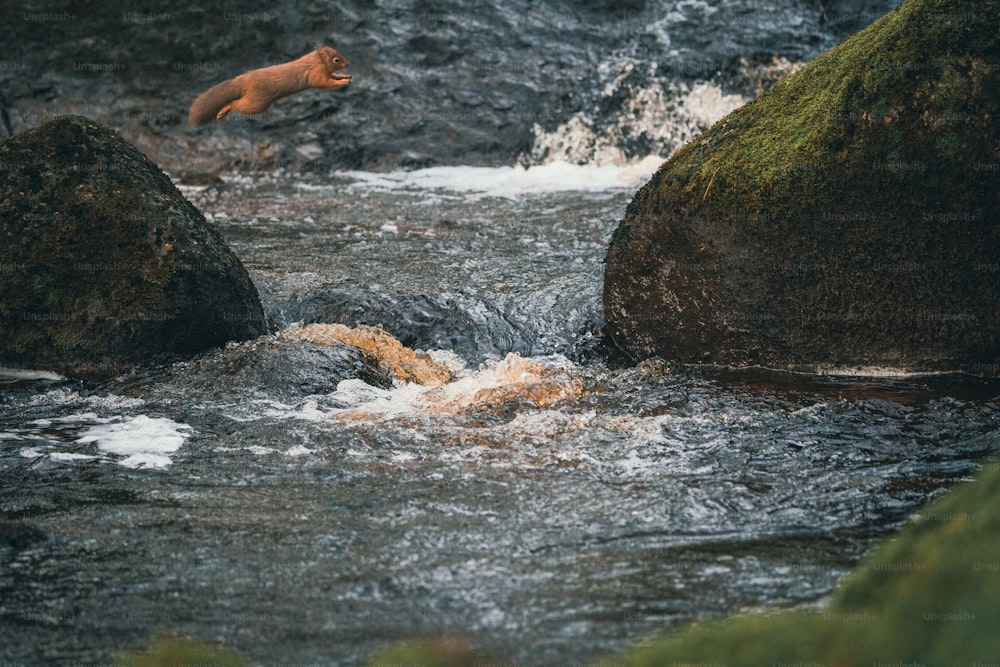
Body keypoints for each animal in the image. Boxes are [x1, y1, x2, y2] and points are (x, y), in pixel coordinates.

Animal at [188, 45, 352, 128]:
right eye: (336, 60)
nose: (348, 64)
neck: (316, 61)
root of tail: (242, 81)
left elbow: (332, 77)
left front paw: (344, 76)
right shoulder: (315, 74)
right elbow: (323, 83)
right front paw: (341, 82)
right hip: (256, 103)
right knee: (235, 103)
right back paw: (224, 109)